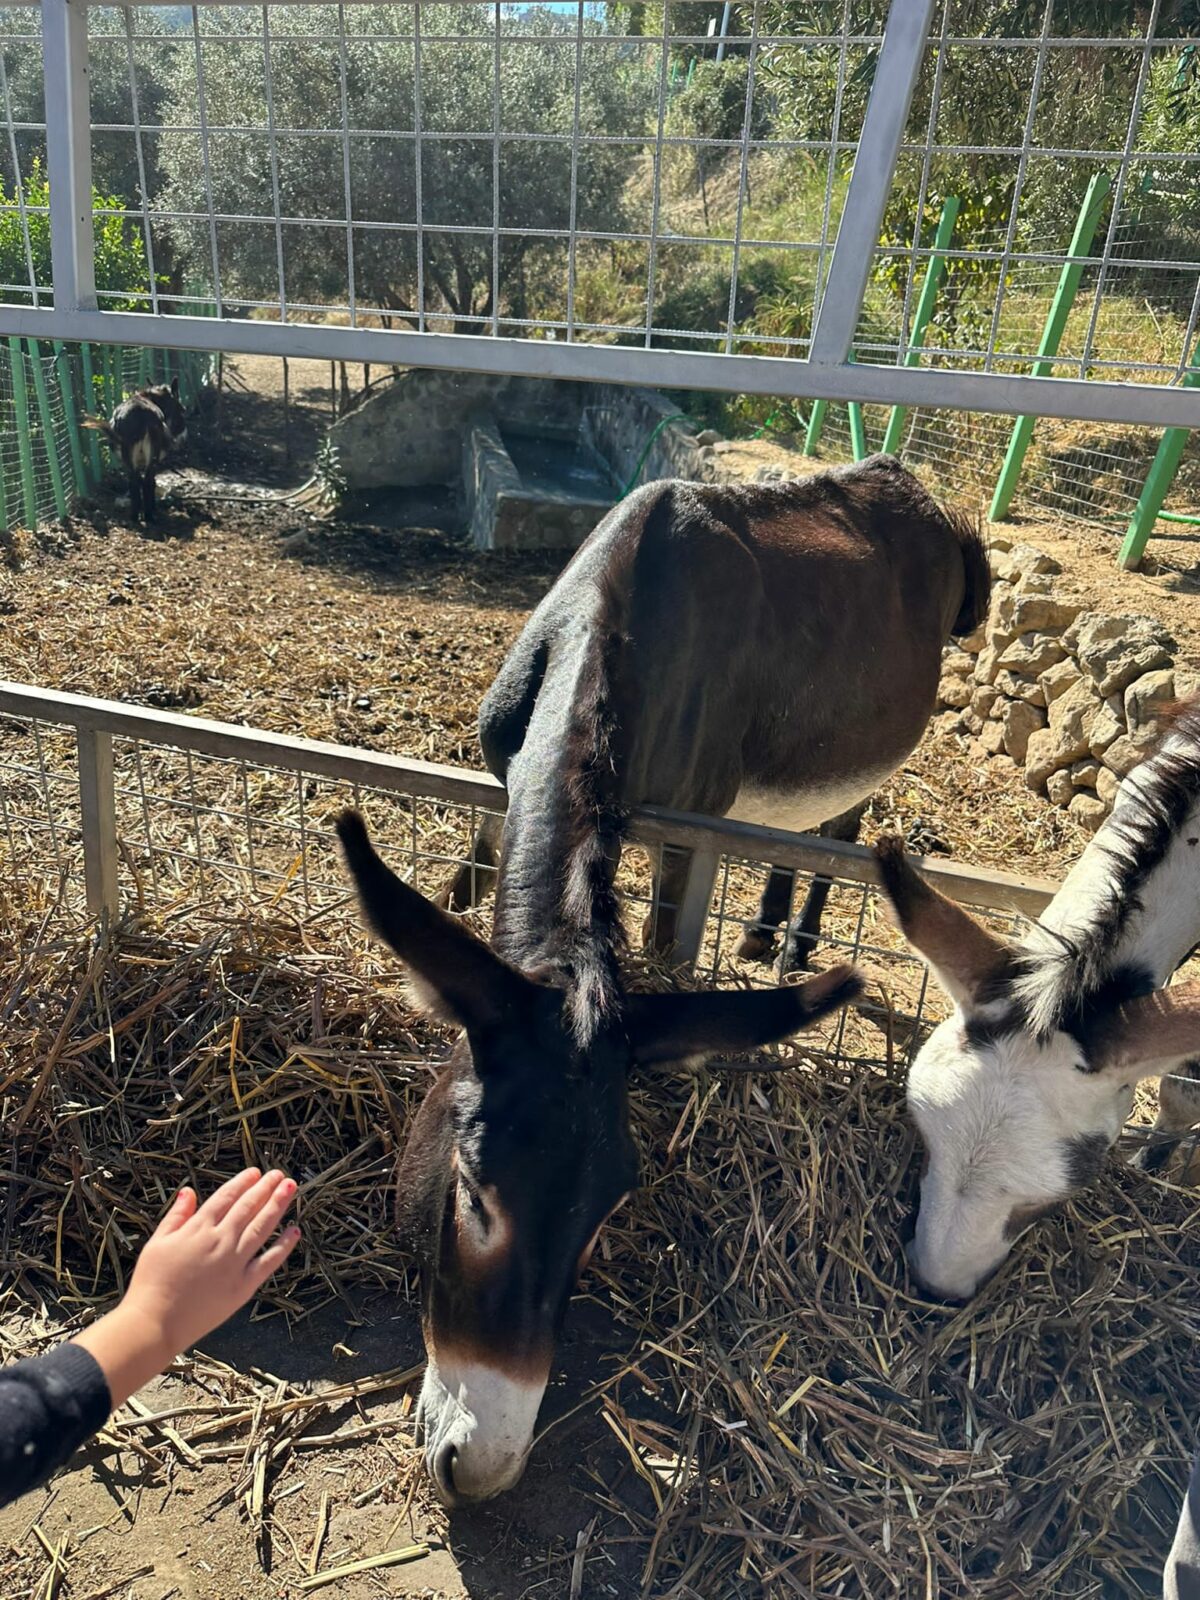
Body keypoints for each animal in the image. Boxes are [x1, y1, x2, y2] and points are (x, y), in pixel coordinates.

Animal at [338, 453, 986, 1503]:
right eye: (473, 1193)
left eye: (607, 1214)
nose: (483, 1469)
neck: (614, 621)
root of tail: (910, 481)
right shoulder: (498, 773)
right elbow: (467, 883)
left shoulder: (685, 838)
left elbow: (662, 951)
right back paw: (764, 933)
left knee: (846, 828)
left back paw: (792, 941)